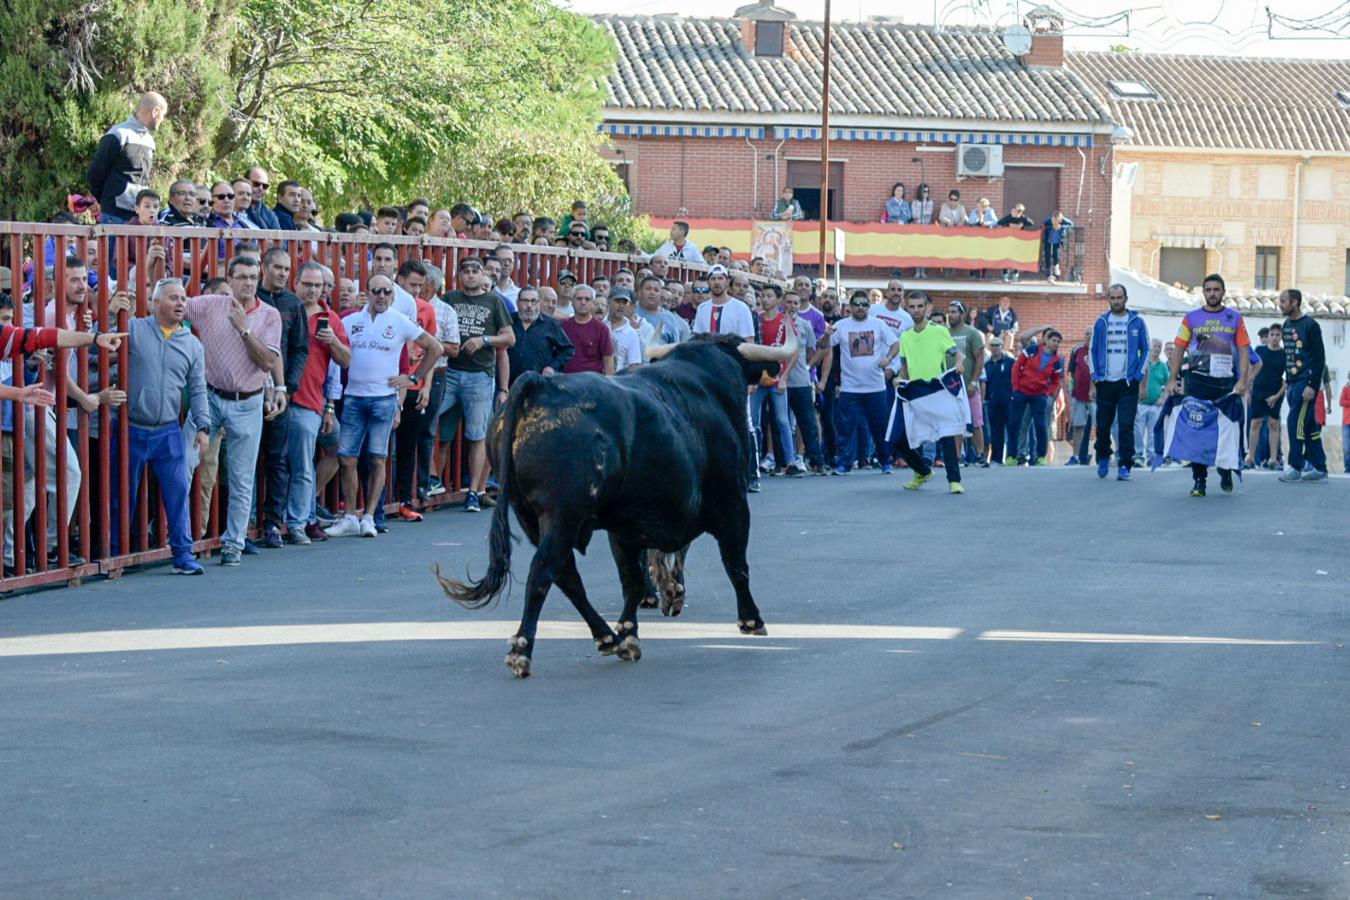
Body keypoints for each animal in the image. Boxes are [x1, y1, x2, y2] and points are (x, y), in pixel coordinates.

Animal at [440, 330, 799, 674]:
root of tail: (539, 384)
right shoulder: (732, 505)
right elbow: (735, 564)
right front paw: (750, 619)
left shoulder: (626, 528)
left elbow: (633, 579)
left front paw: (629, 631)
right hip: (562, 515)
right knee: (544, 570)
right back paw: (521, 650)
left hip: (529, 516)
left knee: (567, 575)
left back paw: (607, 637)